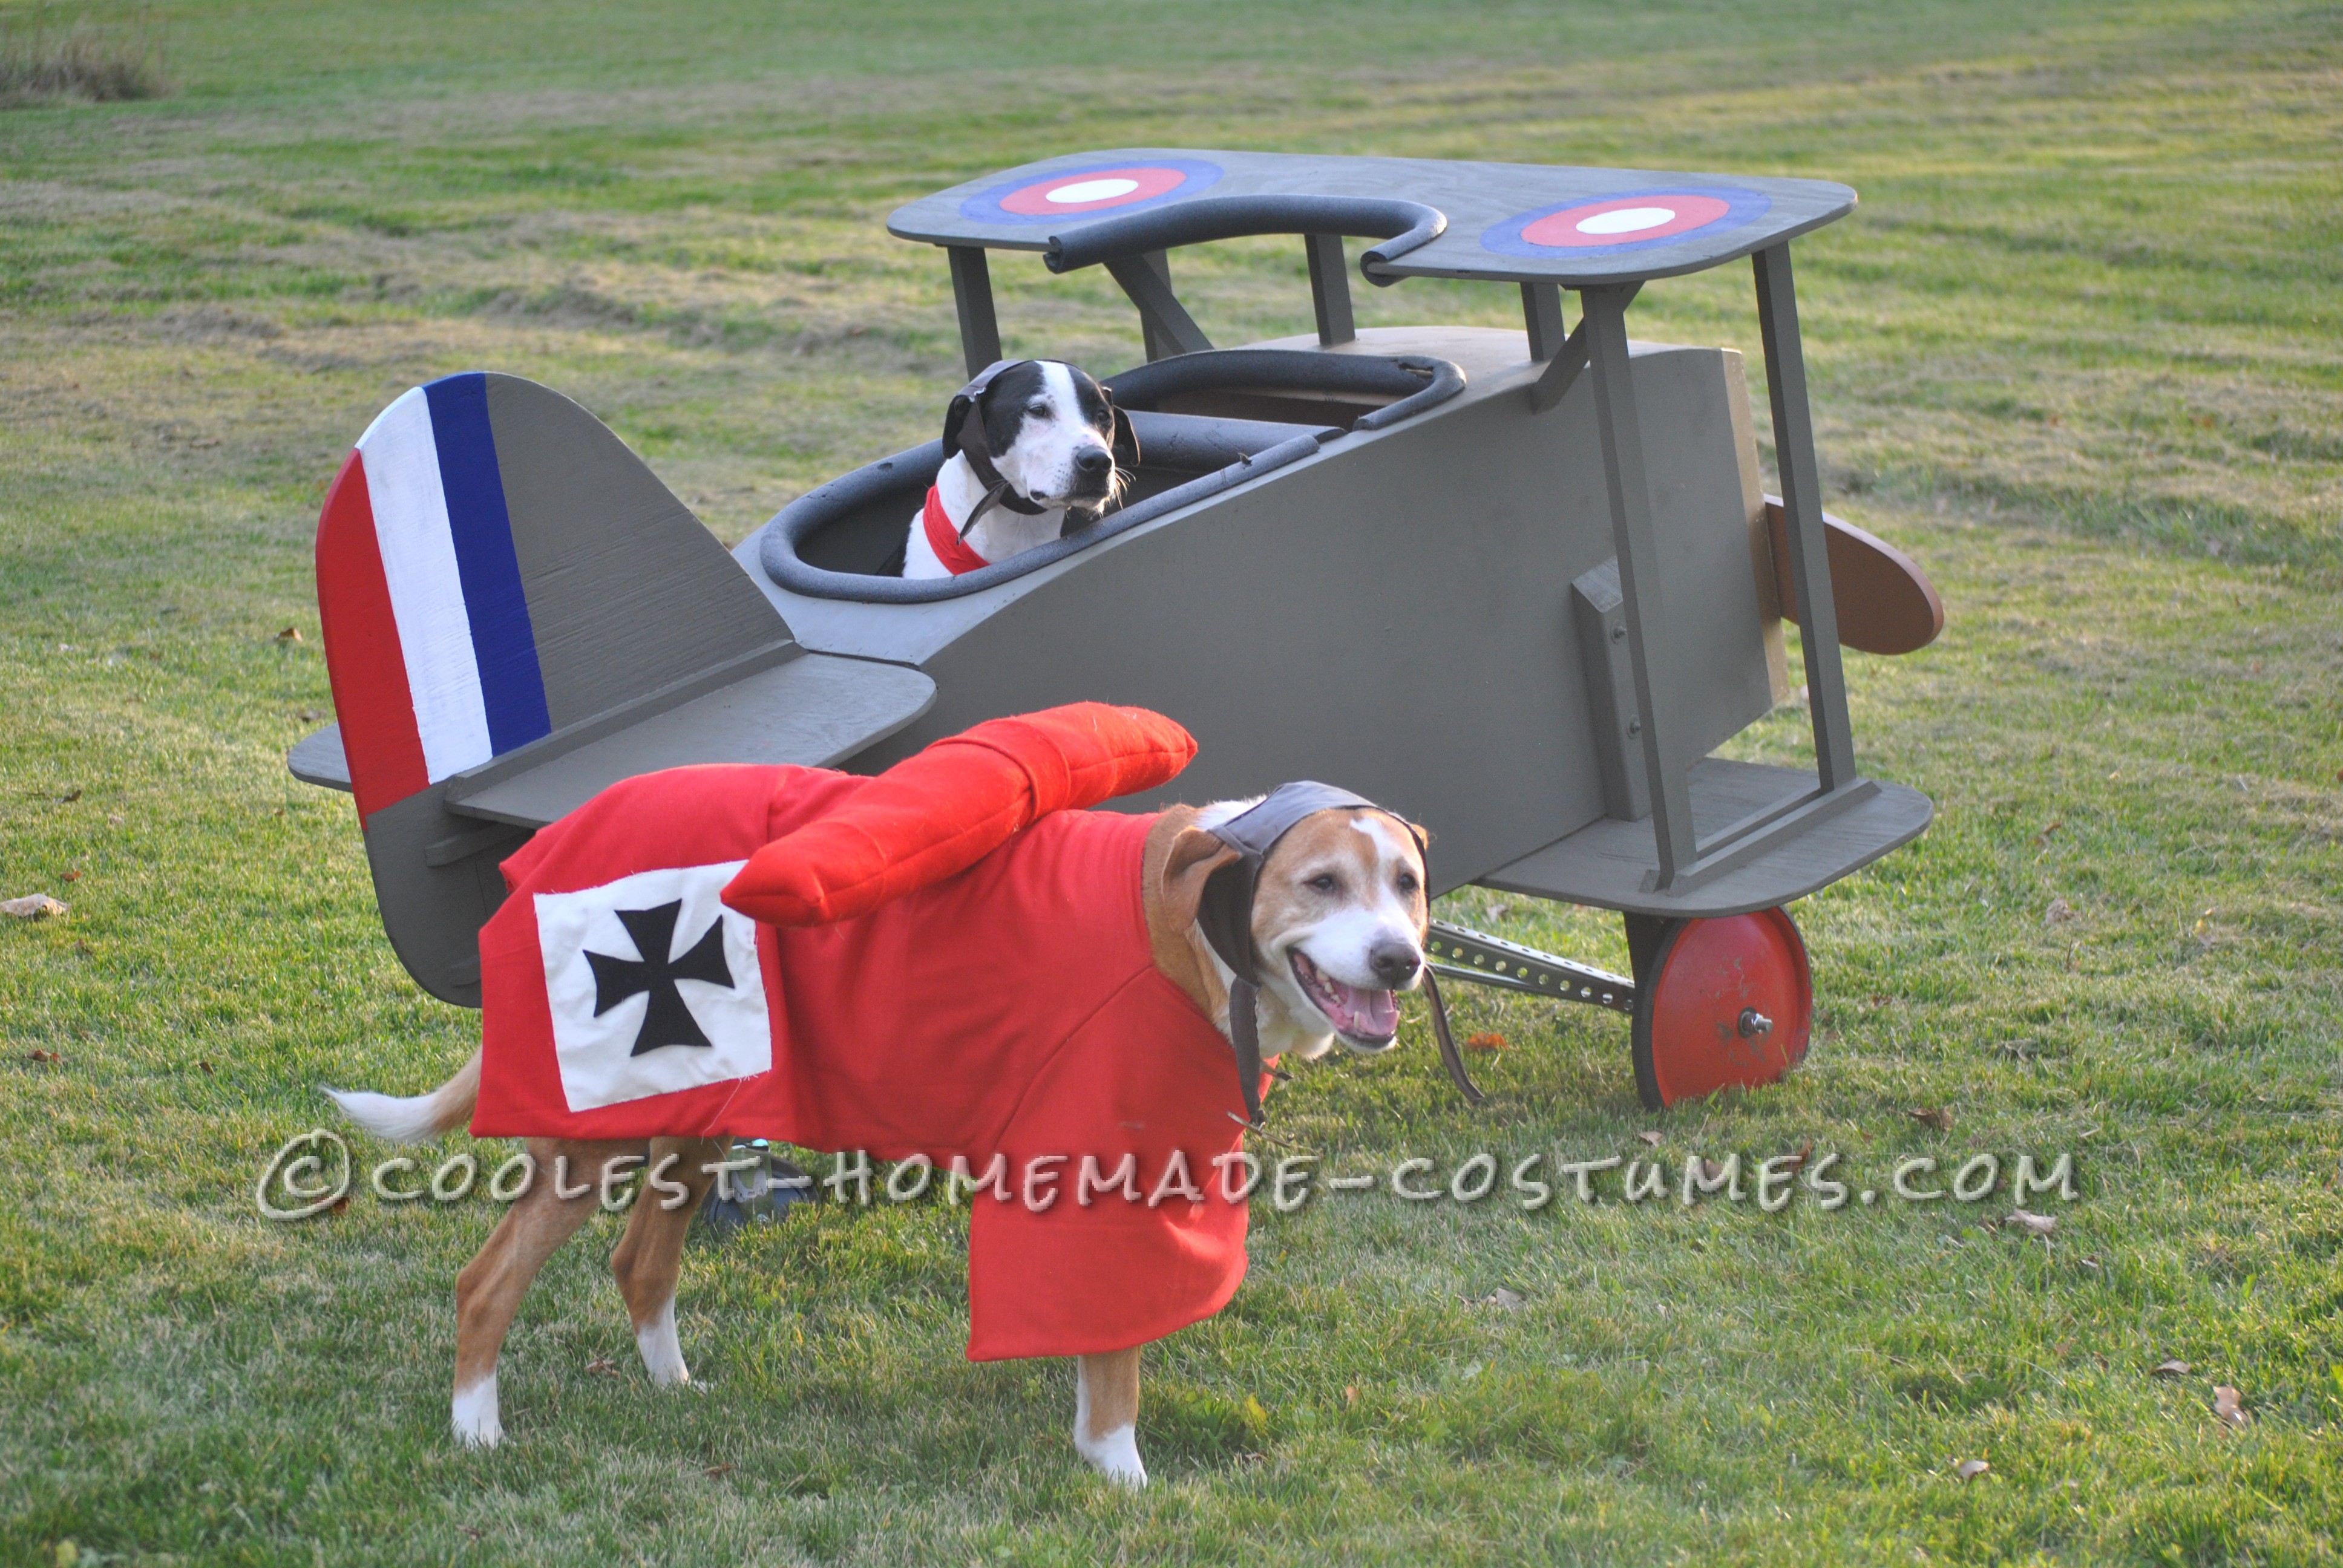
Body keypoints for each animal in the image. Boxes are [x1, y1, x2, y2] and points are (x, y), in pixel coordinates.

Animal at [326, 797, 1424, 1481]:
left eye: (1408, 883)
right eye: (1321, 883)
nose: (1401, 959)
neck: (1197, 919)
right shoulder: (1097, 1182)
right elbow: (1112, 1360)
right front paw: (1119, 1471)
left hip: (698, 1117)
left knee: (640, 1263)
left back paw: (673, 1385)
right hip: (596, 1138)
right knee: (487, 1282)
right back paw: (476, 1431)